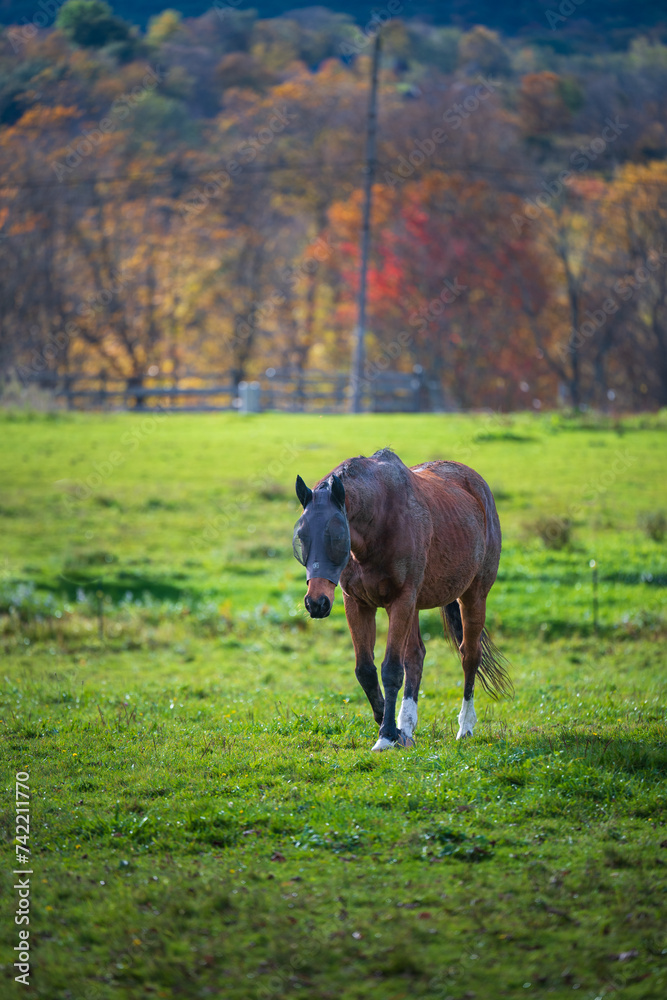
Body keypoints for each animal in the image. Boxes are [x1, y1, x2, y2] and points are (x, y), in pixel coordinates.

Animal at [292, 450, 512, 748]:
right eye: (301, 536)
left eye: (336, 535)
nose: (316, 603)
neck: (379, 521)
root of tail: (478, 486)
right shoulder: (358, 604)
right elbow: (366, 670)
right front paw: (394, 730)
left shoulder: (401, 601)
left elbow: (391, 669)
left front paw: (386, 737)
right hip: (416, 607)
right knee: (416, 656)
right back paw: (406, 728)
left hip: (473, 595)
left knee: (470, 655)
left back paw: (465, 727)